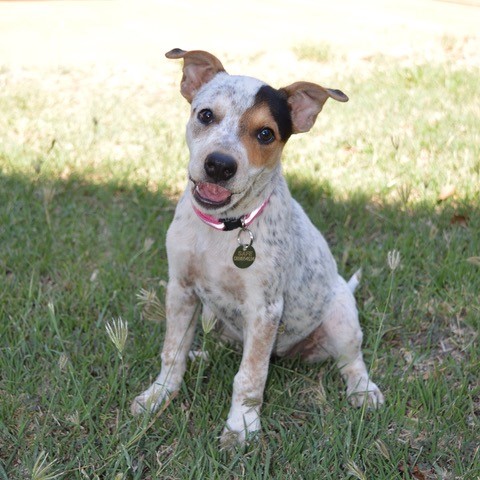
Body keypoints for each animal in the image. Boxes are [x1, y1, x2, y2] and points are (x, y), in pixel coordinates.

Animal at [132, 49, 386, 446]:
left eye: (266, 133)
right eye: (206, 115)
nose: (219, 165)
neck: (224, 229)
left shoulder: (265, 309)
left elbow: (249, 377)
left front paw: (241, 426)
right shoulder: (181, 289)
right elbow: (172, 352)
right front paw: (158, 395)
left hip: (341, 318)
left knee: (351, 360)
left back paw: (363, 390)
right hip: (214, 316)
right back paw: (203, 354)